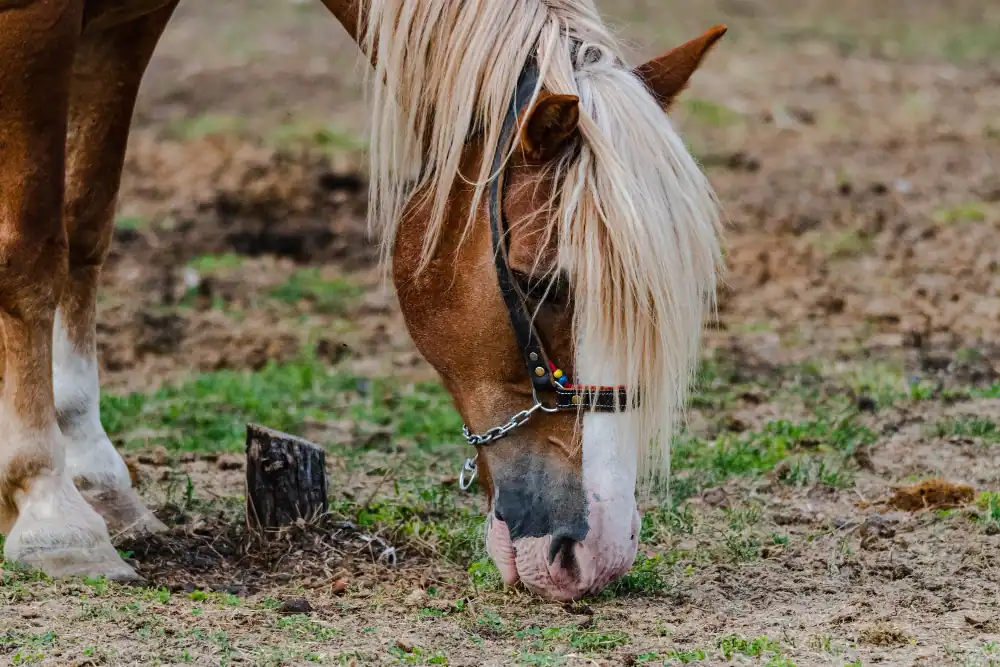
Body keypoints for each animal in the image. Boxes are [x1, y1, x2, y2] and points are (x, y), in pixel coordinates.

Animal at [0, 0, 725, 602]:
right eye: (538, 282)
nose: (597, 554)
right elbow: (31, 249)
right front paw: (50, 511)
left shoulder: (125, 26)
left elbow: (84, 226)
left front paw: (97, 480)